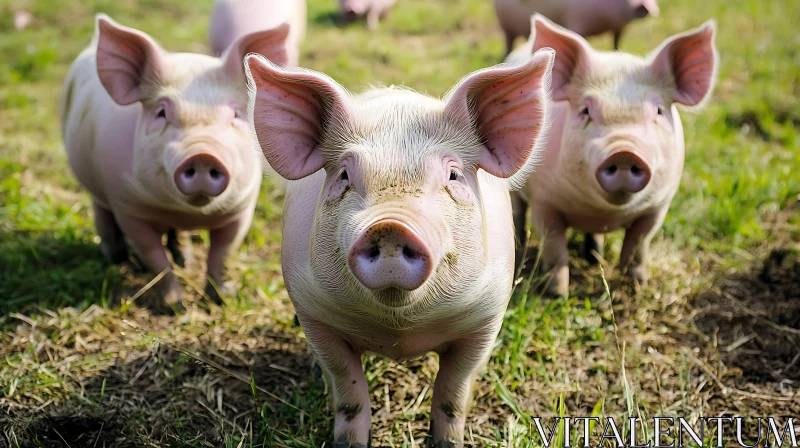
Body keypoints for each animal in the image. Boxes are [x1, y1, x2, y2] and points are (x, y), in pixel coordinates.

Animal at [61, 15, 294, 314]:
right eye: (162, 112)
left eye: (234, 114)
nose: (203, 154)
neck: (185, 211)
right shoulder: (128, 207)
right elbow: (156, 259)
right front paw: (174, 307)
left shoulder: (241, 209)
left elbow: (222, 255)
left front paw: (222, 299)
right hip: (94, 187)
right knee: (102, 215)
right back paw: (116, 258)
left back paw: (183, 258)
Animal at [245, 47, 556, 446]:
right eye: (344, 175)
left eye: (453, 175)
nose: (390, 226)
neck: (399, 329)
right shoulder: (314, 313)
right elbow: (348, 389)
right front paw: (349, 442)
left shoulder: (485, 318)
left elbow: (454, 391)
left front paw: (447, 441)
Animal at [494, 0, 664, 55]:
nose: (644, 6)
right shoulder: (576, 22)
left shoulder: (619, 28)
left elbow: (616, 42)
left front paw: (617, 52)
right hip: (505, 27)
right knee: (508, 43)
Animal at [510, 14, 720, 298]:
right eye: (586, 111)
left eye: (658, 111)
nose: (623, 152)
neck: (603, 211)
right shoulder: (544, 201)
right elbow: (555, 249)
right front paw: (556, 294)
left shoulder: (658, 207)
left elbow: (637, 246)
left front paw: (637, 288)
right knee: (517, 212)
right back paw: (520, 246)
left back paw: (594, 257)